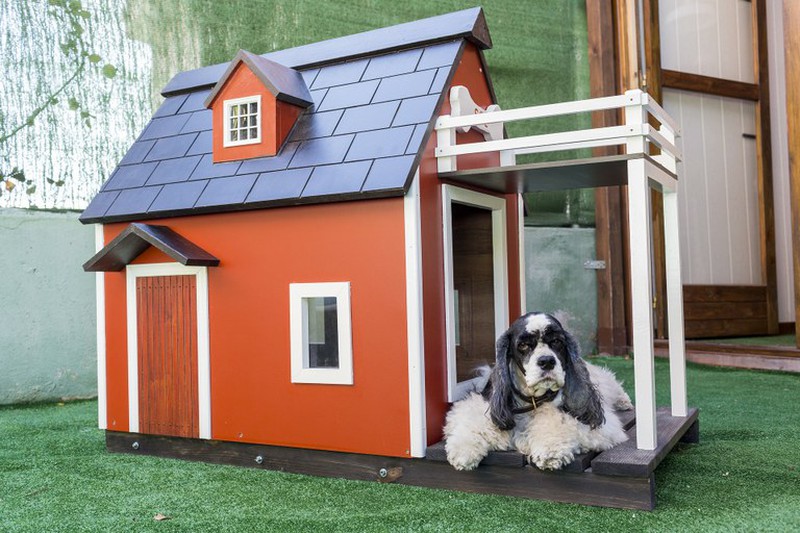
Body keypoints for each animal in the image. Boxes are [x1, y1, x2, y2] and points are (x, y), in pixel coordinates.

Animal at [444, 312, 632, 470]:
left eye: (557, 341)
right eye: (523, 345)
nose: (547, 361)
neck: (533, 400)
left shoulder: (602, 429)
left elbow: (559, 422)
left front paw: (550, 451)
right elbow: (474, 422)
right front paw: (463, 451)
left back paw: (624, 402)